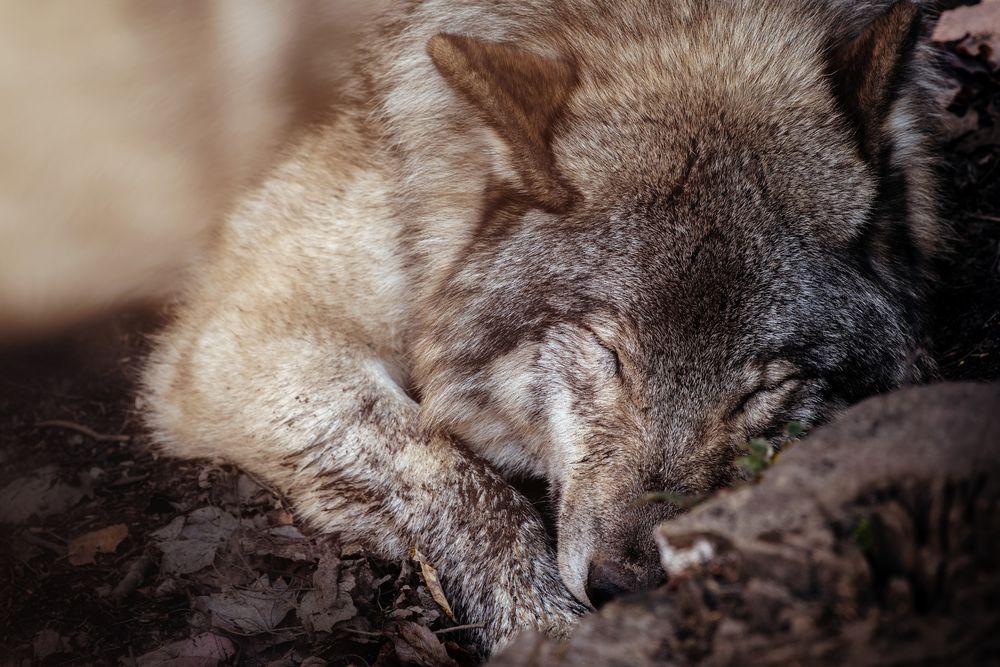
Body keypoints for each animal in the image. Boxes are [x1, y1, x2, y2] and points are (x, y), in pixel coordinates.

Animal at [143, 0, 942, 653]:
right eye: (610, 355)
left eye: (761, 389)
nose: (628, 587)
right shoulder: (243, 332)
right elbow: (459, 478)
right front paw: (544, 628)